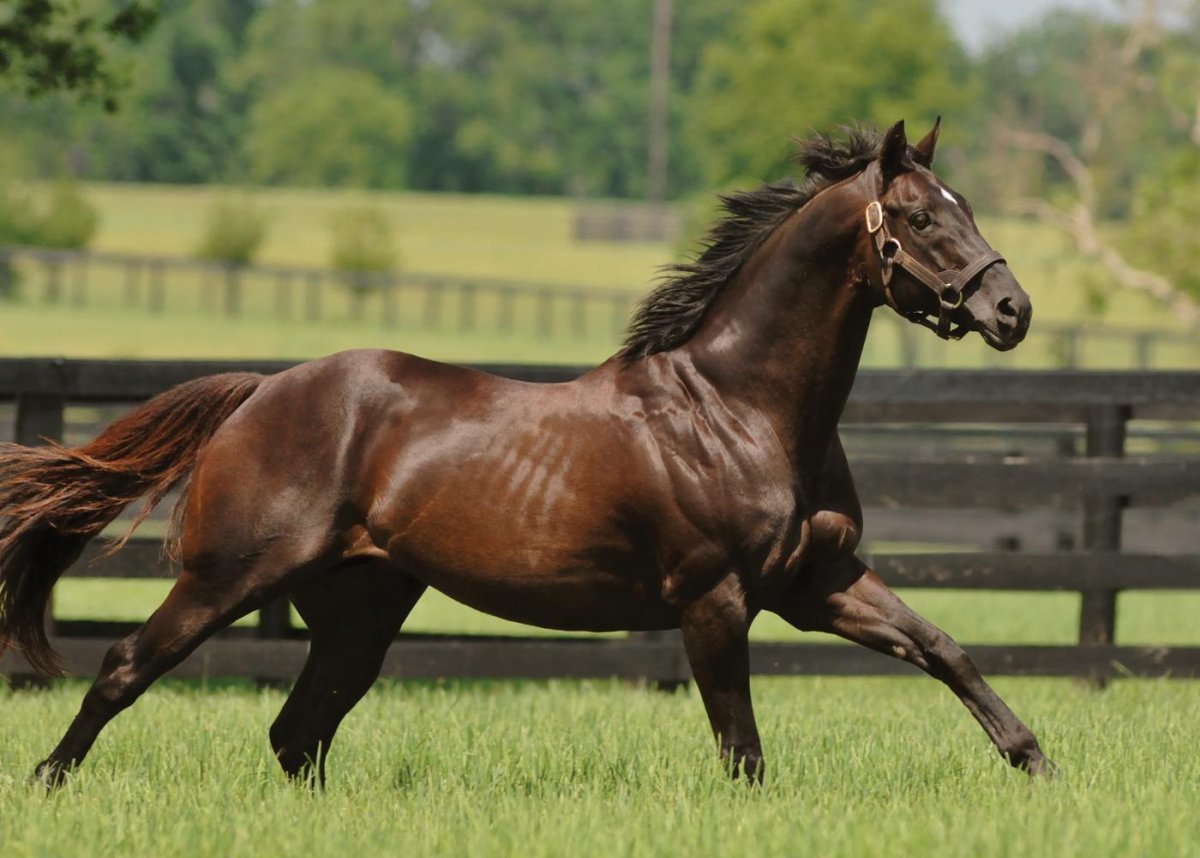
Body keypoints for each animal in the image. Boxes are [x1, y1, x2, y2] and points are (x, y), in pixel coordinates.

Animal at [0, 119, 1052, 789]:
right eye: (921, 217)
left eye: (965, 203)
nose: (1013, 310)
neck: (740, 411)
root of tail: (261, 392)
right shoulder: (715, 602)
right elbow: (742, 749)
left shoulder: (817, 580)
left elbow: (941, 648)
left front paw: (1036, 761)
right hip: (230, 577)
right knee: (126, 668)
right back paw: (49, 780)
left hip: (360, 610)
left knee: (298, 733)